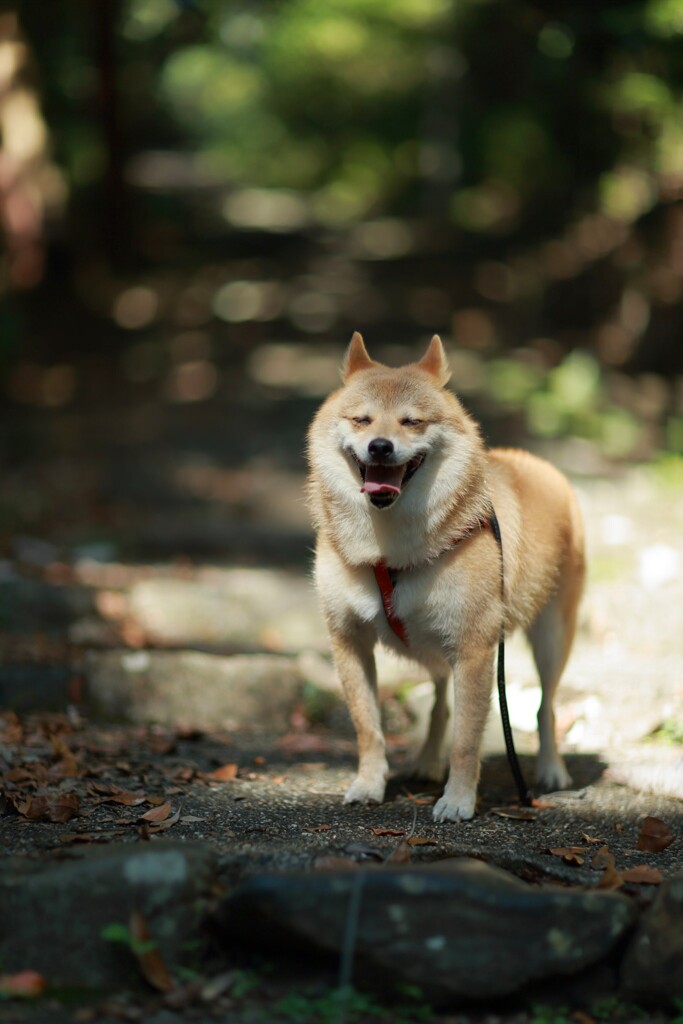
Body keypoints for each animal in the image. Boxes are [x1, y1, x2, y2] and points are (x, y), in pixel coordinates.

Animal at [307, 331, 585, 819]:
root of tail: (541, 465)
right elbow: (368, 726)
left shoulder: (475, 650)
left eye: (412, 422)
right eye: (362, 420)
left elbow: (468, 738)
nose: (380, 446)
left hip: (551, 636)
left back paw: (551, 771)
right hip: (434, 644)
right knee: (439, 702)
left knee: (545, 706)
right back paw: (427, 760)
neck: (389, 547)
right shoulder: (348, 641)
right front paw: (369, 783)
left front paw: (457, 800)